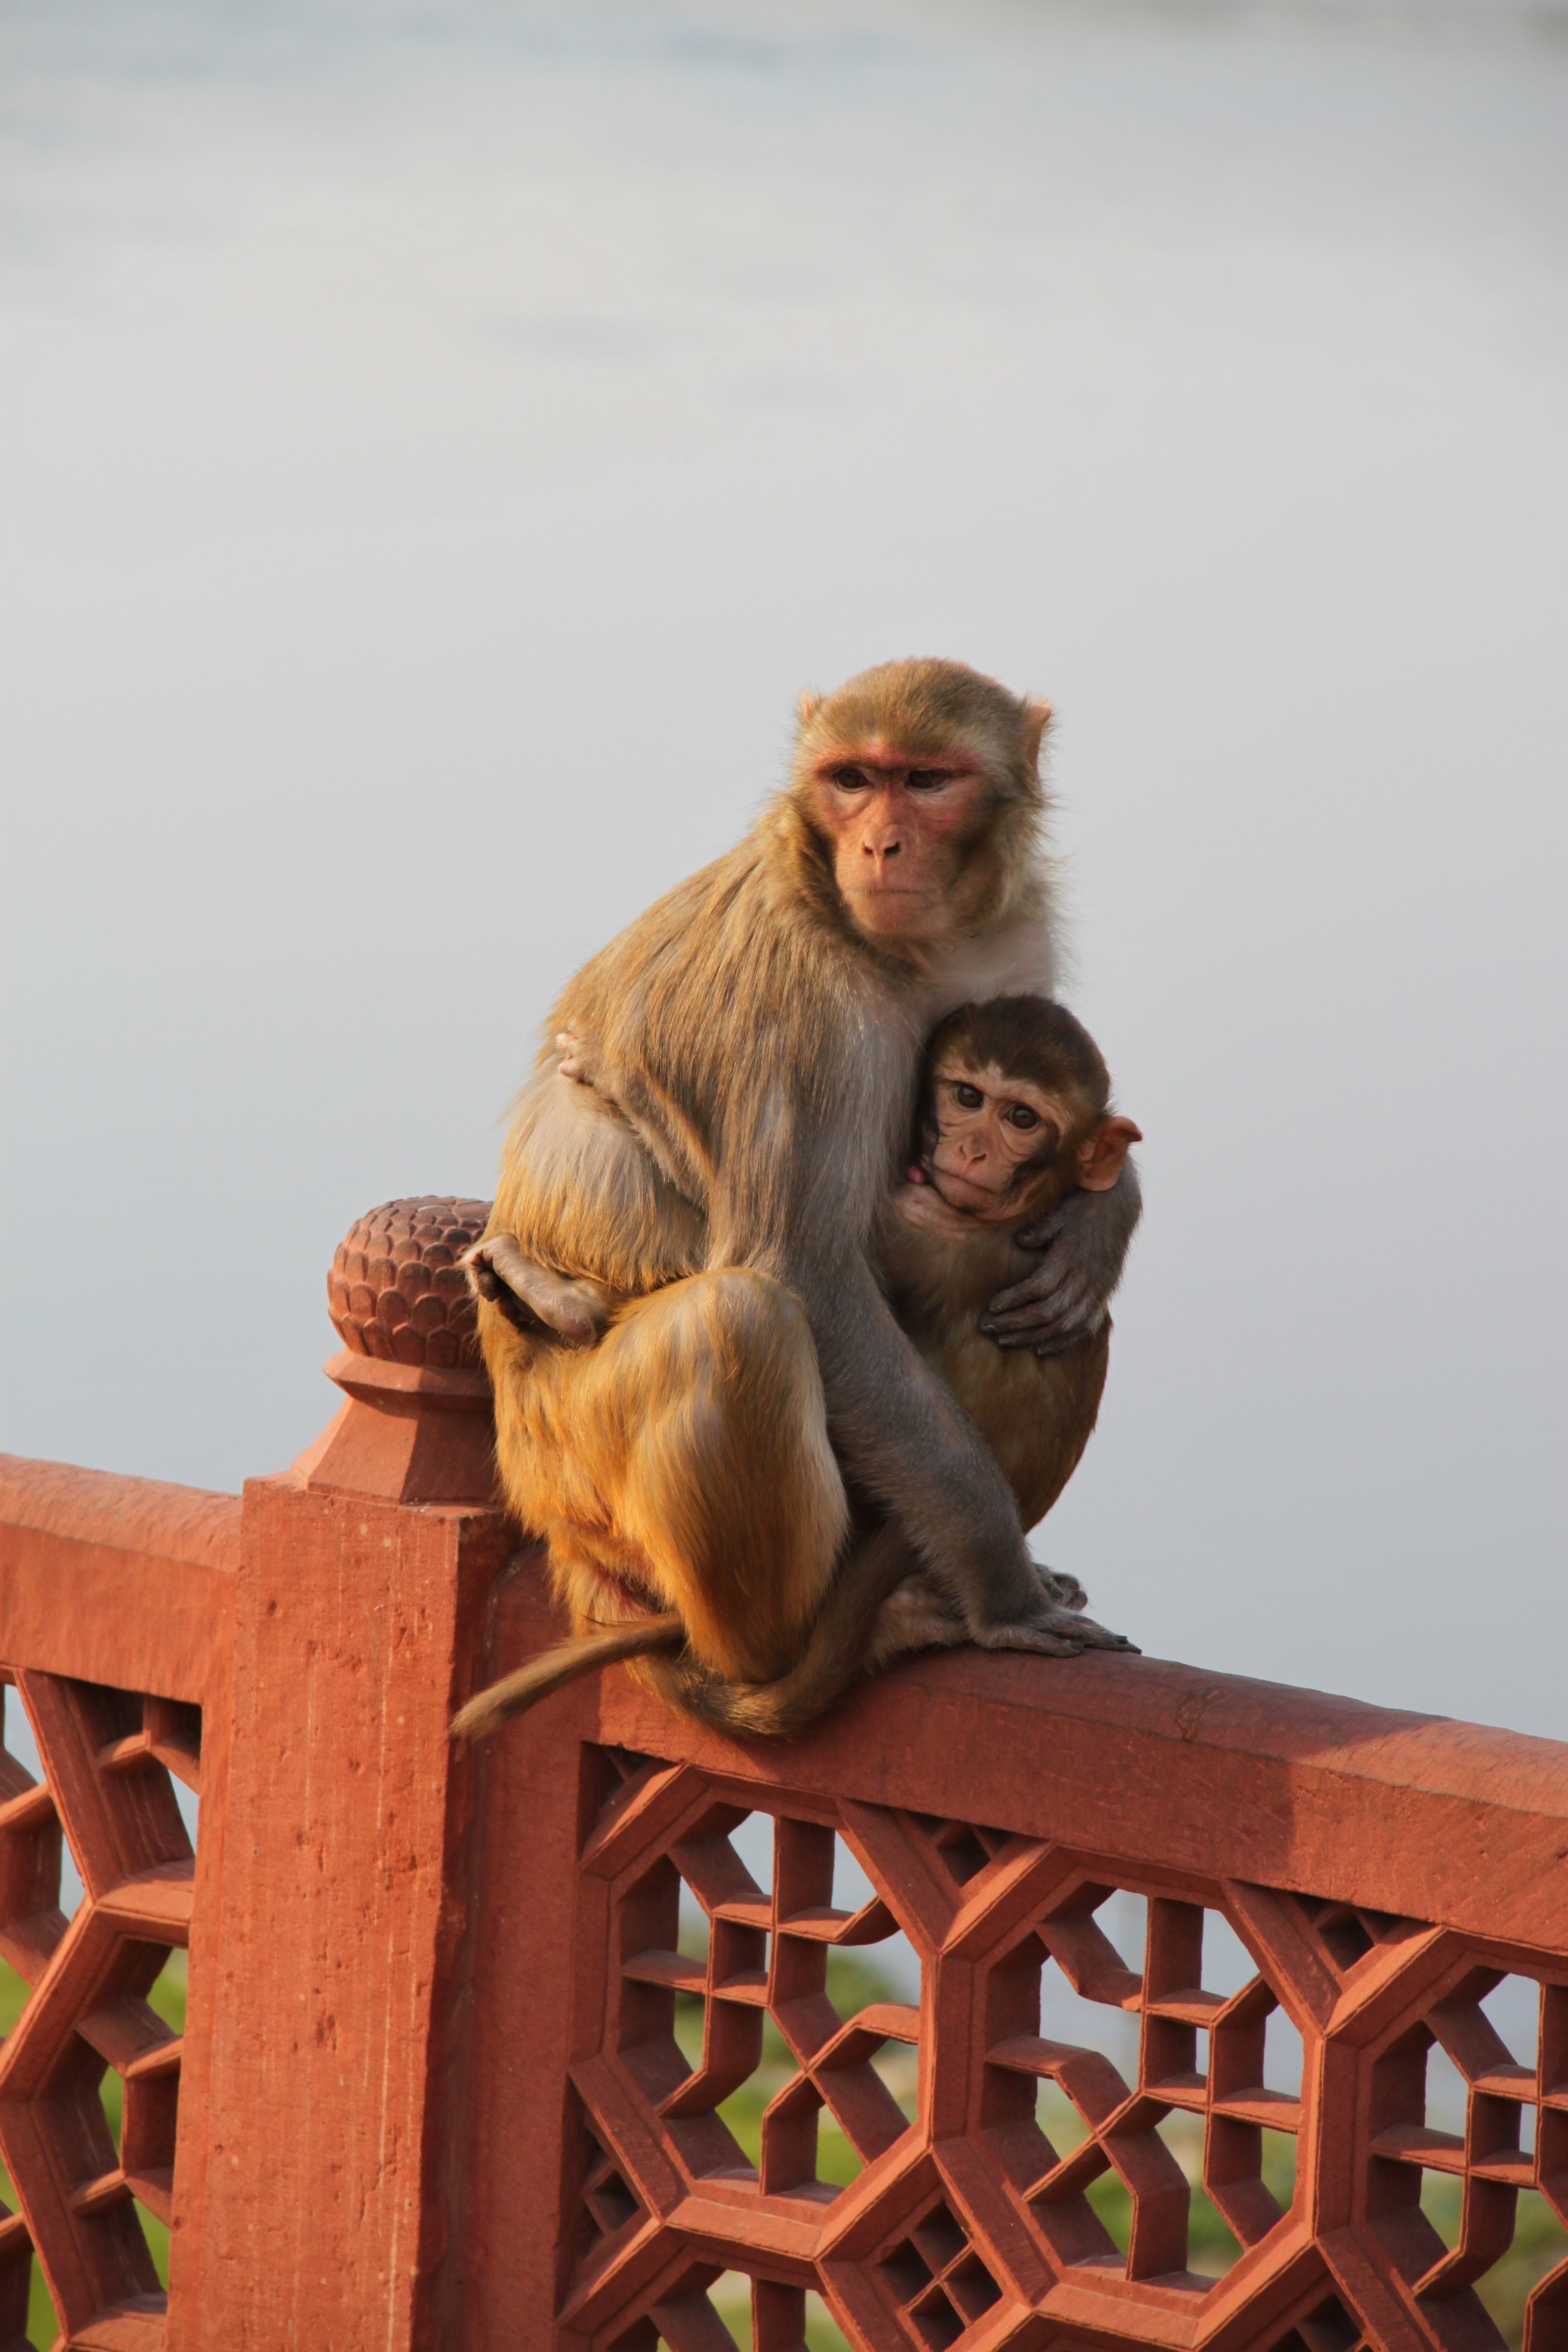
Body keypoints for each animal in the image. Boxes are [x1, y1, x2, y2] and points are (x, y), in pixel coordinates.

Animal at [451, 660, 1138, 1747]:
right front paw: (1004, 1589)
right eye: (852, 778)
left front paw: (1098, 1222)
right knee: (740, 1318)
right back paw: (811, 1647)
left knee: (1062, 1325)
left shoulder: (1006, 944)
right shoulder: (801, 1007)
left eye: (926, 781)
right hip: (583, 1467)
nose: (880, 843)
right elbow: (802, 1265)